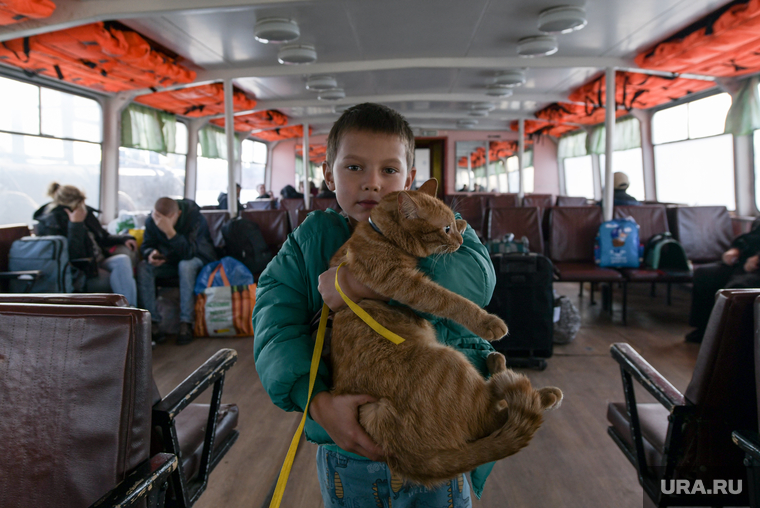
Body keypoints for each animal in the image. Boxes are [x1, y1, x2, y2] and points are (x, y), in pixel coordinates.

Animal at [330, 178, 560, 484]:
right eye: (445, 229)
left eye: (452, 224)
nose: (460, 241)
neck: (379, 233)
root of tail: (401, 456)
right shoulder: (404, 283)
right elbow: (450, 300)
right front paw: (487, 322)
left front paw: (465, 225)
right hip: (451, 362)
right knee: (496, 414)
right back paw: (531, 386)